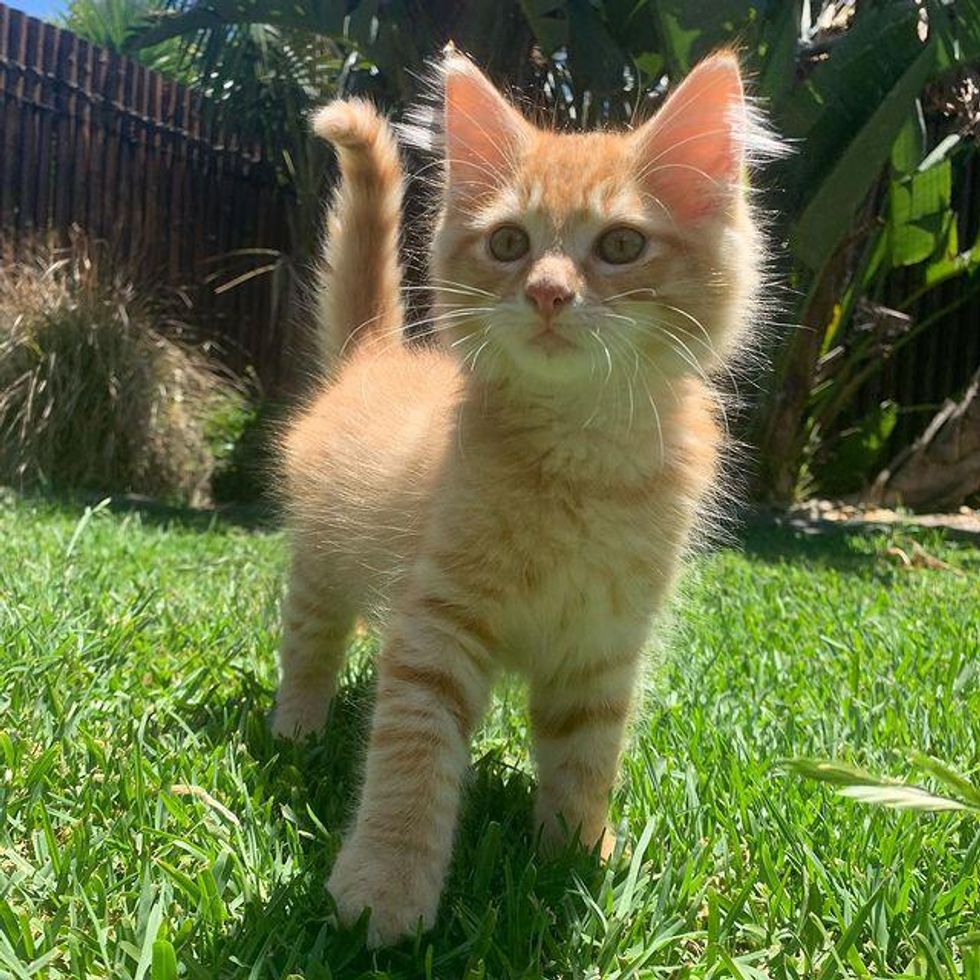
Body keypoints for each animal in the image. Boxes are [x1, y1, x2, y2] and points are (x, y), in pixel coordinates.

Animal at [274, 49, 772, 944]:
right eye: (509, 242)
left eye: (621, 245)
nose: (546, 291)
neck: (581, 457)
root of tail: (375, 357)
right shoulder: (437, 624)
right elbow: (412, 756)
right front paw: (384, 889)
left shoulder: (604, 647)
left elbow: (585, 757)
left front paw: (578, 859)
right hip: (320, 559)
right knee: (309, 640)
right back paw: (296, 727)